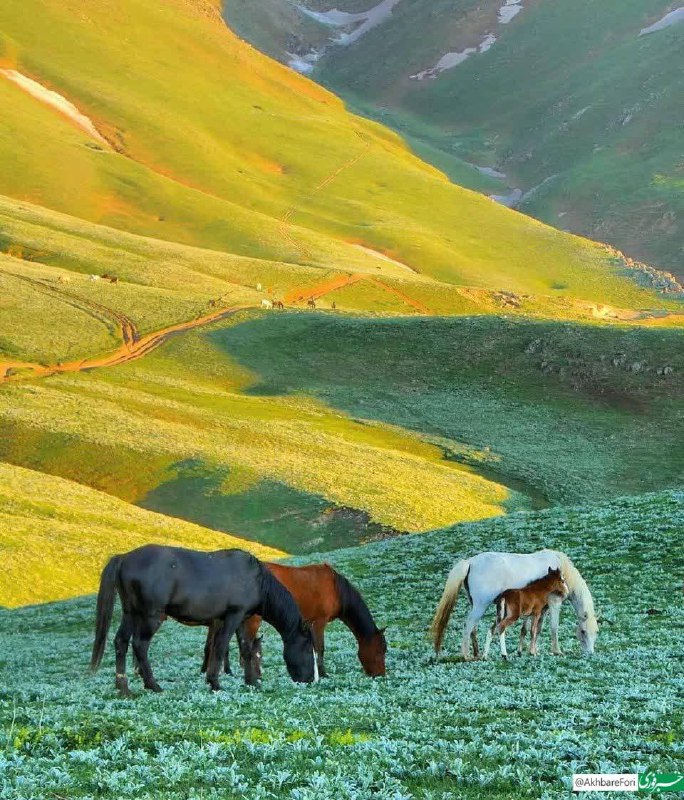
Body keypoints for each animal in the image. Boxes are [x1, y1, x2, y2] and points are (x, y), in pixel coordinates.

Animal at [89, 544, 316, 692]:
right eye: (307, 649)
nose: (310, 680)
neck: (255, 579)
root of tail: (124, 557)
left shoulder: (238, 620)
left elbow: (244, 649)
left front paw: (251, 682)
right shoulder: (233, 616)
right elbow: (221, 647)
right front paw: (214, 682)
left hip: (131, 613)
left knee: (121, 642)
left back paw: (123, 686)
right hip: (151, 616)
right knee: (139, 645)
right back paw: (153, 685)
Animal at [204, 564, 384, 680]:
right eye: (380, 651)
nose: (381, 674)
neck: (335, 588)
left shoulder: (308, 624)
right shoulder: (319, 623)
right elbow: (320, 648)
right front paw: (323, 673)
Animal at [432, 548, 600, 660]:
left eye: (596, 632)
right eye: (583, 631)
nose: (590, 653)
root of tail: (470, 562)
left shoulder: (541, 609)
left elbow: (534, 629)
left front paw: (530, 650)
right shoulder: (554, 603)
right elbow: (553, 627)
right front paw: (556, 650)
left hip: (475, 605)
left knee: (473, 627)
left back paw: (477, 653)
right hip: (481, 606)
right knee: (468, 625)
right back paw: (466, 655)